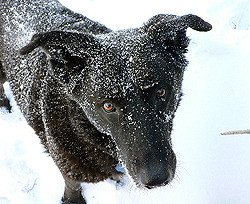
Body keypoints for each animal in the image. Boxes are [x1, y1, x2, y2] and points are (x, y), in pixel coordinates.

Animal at [0, 0, 212, 203]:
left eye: (160, 92)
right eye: (108, 106)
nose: (157, 179)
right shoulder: (66, 164)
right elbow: (72, 183)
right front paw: (72, 200)